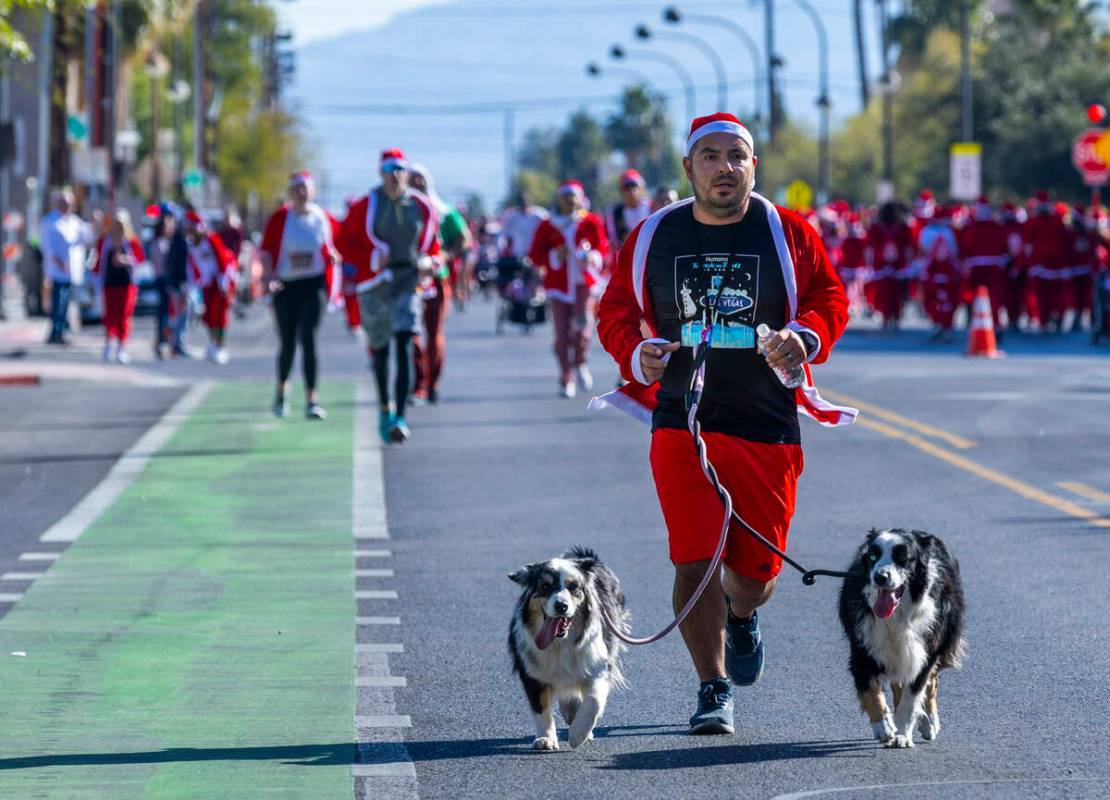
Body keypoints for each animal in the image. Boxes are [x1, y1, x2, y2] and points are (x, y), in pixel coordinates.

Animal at [508, 543, 630, 750]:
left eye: (574, 587)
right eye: (545, 587)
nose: (561, 606)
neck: (560, 642)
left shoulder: (598, 664)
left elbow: (594, 701)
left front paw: (578, 735)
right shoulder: (532, 672)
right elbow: (540, 708)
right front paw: (546, 739)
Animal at [839, 528, 963, 745]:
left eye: (902, 557)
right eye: (873, 556)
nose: (880, 577)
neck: (896, 615)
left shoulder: (925, 652)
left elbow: (911, 697)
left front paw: (902, 735)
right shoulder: (862, 647)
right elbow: (871, 691)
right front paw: (883, 727)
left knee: (930, 683)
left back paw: (930, 721)